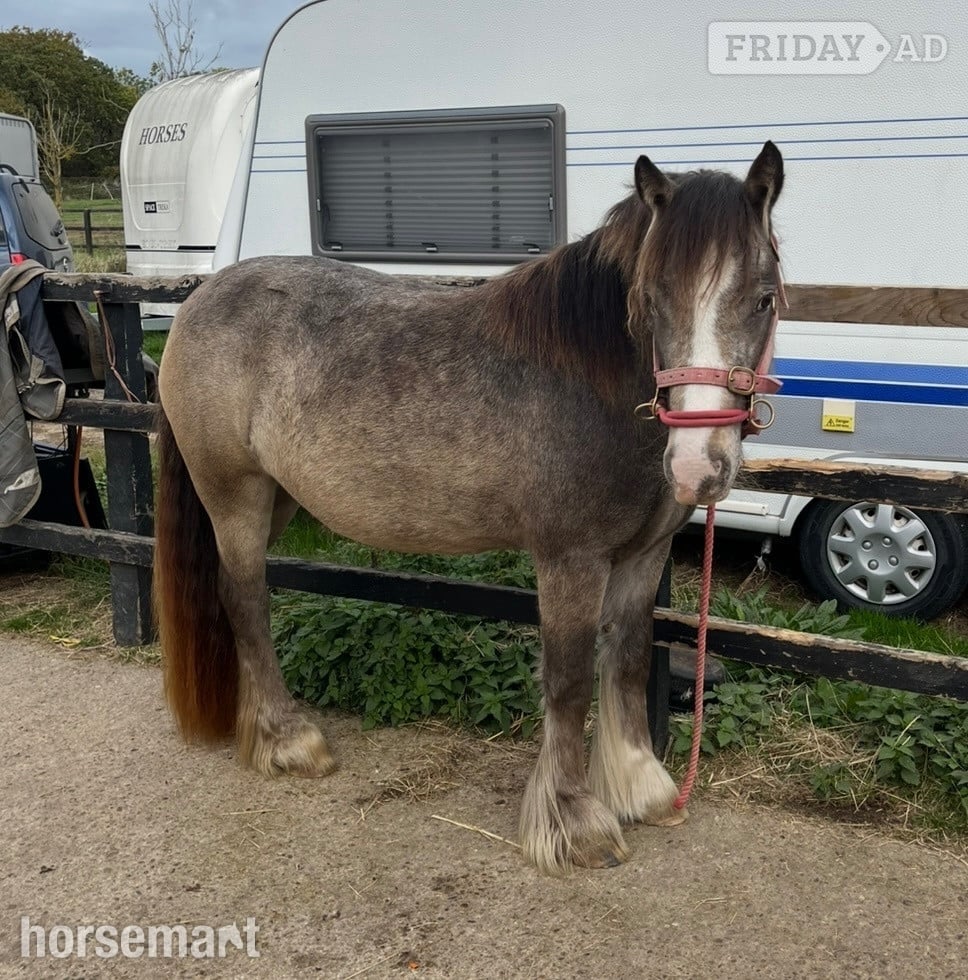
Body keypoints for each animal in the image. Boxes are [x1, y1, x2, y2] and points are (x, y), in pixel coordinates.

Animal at [154, 141, 785, 874]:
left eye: (763, 300)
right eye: (652, 301)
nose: (697, 467)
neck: (589, 379)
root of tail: (200, 299)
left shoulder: (643, 555)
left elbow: (626, 657)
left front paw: (639, 787)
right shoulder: (570, 560)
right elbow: (570, 678)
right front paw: (573, 822)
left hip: (277, 498)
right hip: (236, 496)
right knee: (245, 599)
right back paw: (288, 739)